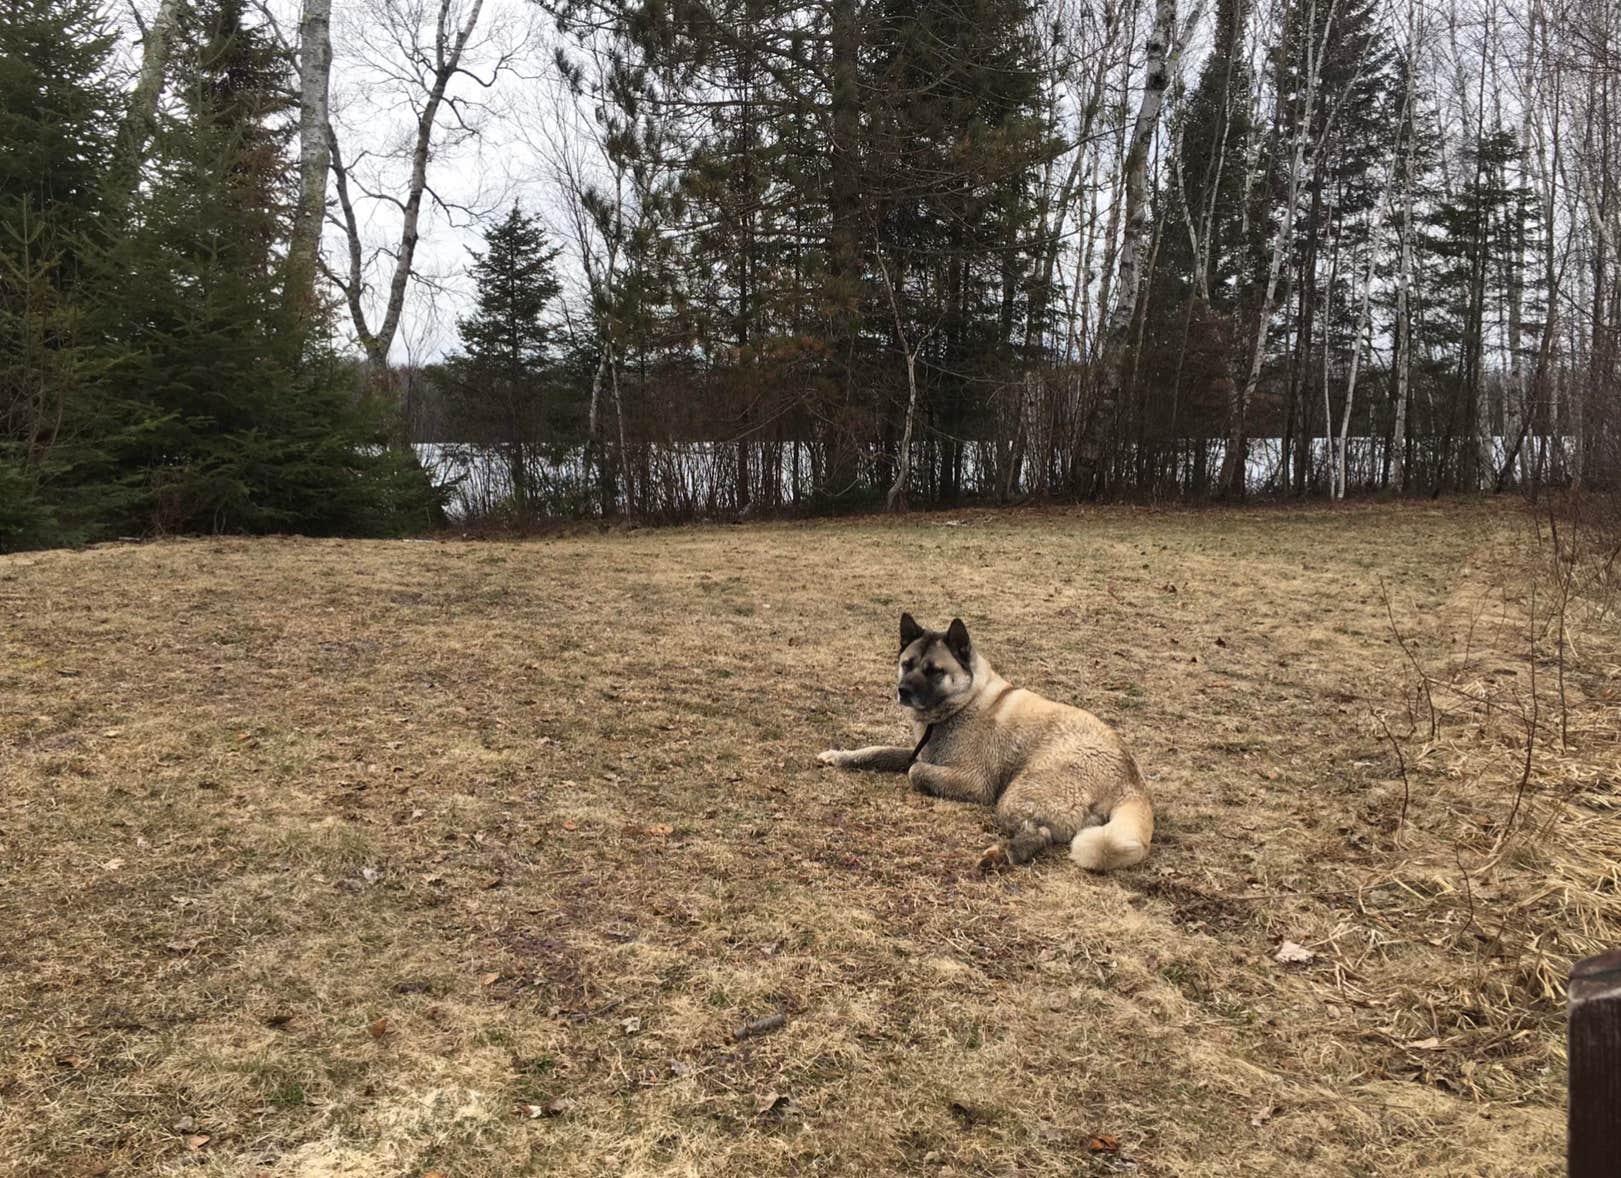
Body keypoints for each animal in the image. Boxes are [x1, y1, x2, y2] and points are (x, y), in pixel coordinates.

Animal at [823, 612, 1154, 868]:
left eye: (934, 671)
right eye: (907, 664)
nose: (902, 691)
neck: (964, 703)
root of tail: (1132, 781)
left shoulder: (973, 782)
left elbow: (915, 772)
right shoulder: (917, 752)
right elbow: (878, 751)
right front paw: (839, 756)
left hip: (1016, 795)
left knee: (1041, 834)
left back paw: (1003, 854)